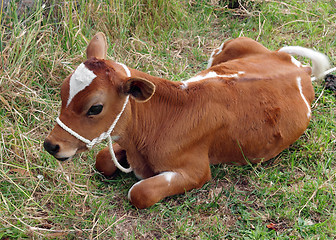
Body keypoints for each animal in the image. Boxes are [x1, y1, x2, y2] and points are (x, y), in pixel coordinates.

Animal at [43, 32, 330, 208]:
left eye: (95, 107)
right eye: (63, 92)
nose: (51, 145)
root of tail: (297, 67)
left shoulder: (197, 171)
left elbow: (140, 192)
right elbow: (103, 159)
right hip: (233, 43)